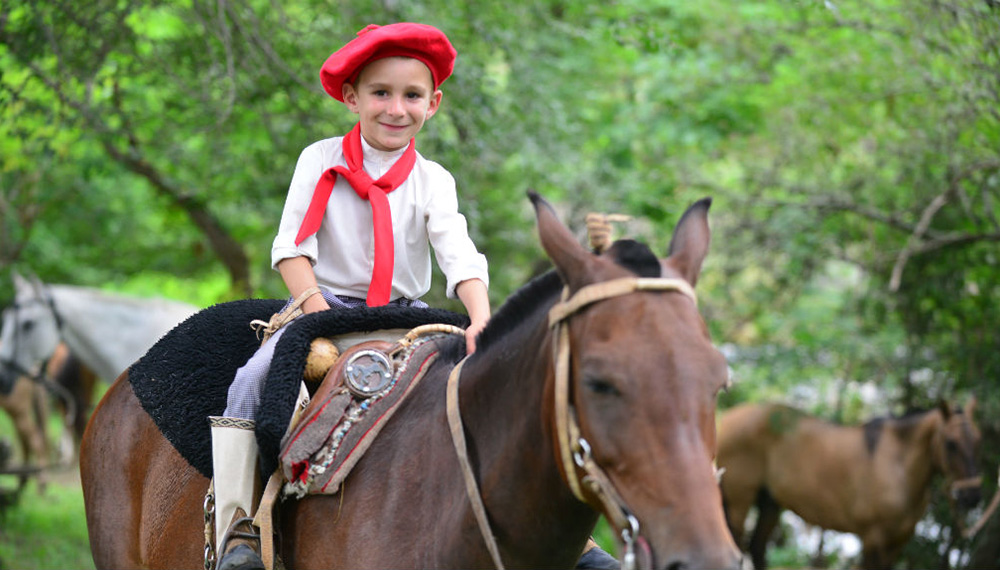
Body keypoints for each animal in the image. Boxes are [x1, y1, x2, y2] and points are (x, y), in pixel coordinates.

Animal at [717, 400, 982, 570]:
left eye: (978, 439)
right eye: (950, 443)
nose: (972, 496)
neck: (896, 465)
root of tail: (724, 420)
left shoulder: (897, 542)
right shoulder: (873, 539)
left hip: (769, 503)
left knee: (757, 548)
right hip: (738, 502)